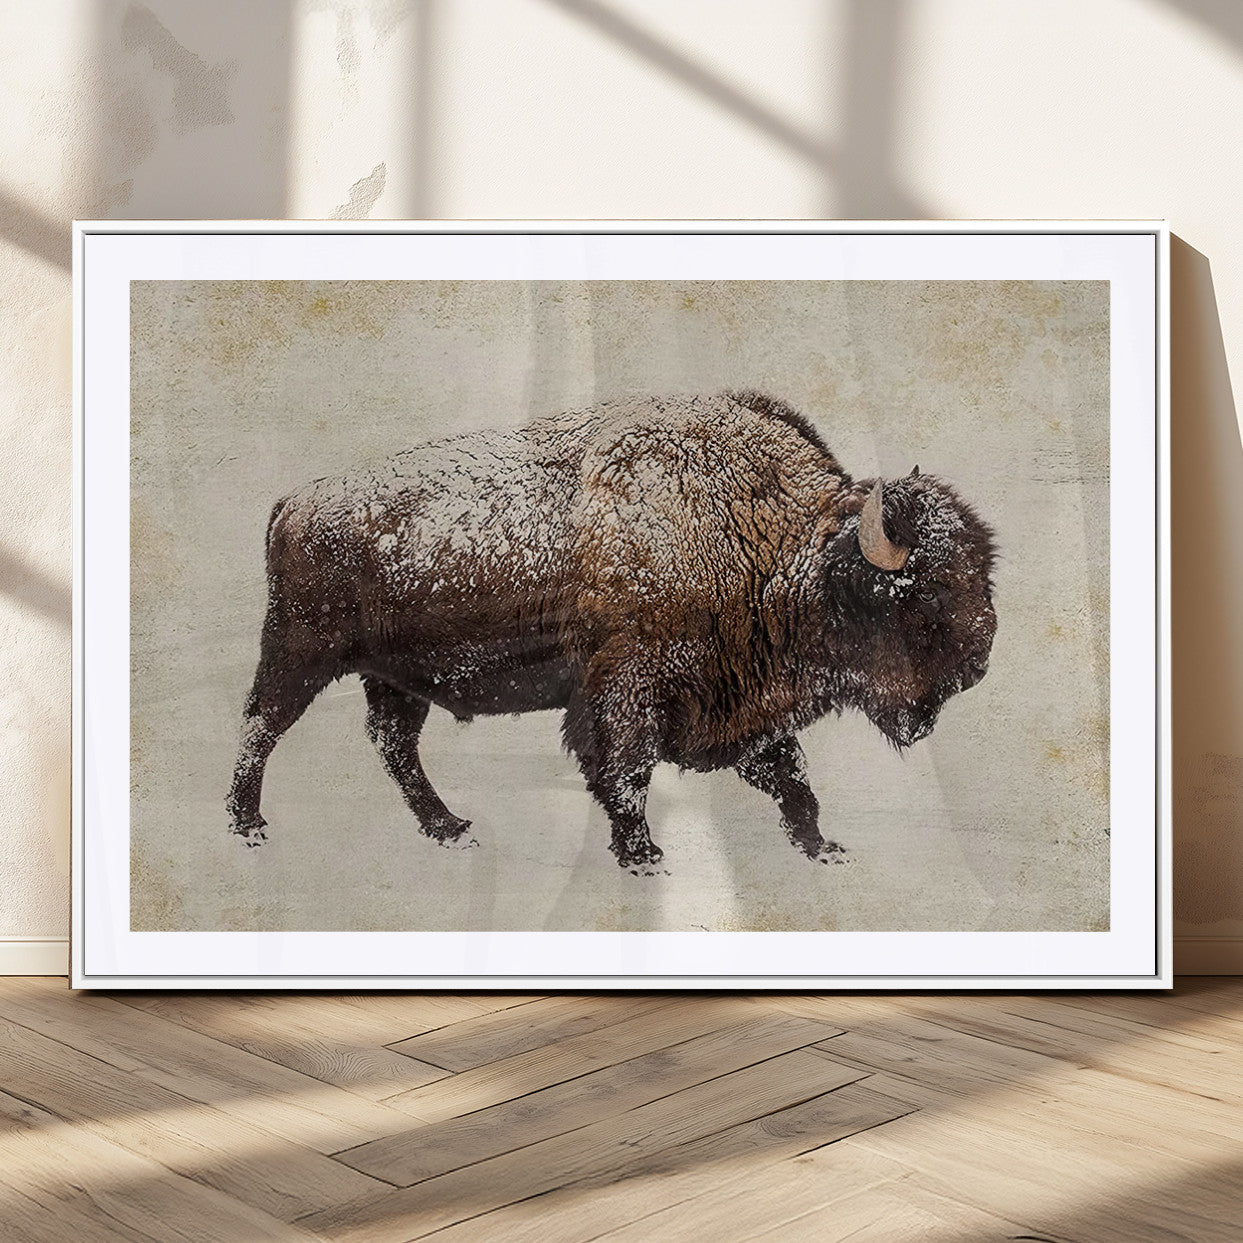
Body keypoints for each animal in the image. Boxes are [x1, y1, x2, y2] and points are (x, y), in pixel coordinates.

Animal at [226, 391, 997, 872]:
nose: (980, 662)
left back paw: (450, 830)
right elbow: (625, 773)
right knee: (260, 726)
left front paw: (822, 847)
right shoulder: (628, 689)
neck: (776, 545)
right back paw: (247, 826)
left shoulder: (747, 704)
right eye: (925, 592)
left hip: (394, 678)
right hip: (299, 654)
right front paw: (643, 856)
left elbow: (792, 780)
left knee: (394, 747)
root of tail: (294, 500)